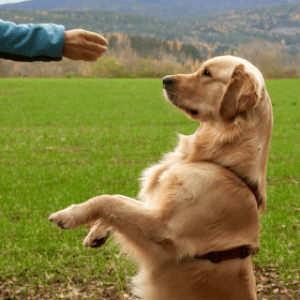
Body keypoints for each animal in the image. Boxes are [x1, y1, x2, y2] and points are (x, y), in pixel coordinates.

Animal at [48, 55, 272, 298]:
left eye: (207, 73)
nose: (165, 80)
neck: (222, 164)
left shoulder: (165, 232)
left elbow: (108, 200)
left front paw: (68, 215)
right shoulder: (157, 207)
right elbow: (119, 200)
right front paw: (97, 231)